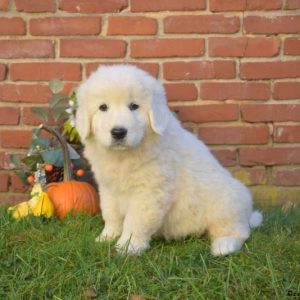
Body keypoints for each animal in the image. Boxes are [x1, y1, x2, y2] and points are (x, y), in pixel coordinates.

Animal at [75, 65, 262, 255]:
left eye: (134, 106)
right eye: (103, 107)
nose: (118, 132)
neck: (123, 156)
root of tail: (247, 215)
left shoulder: (149, 192)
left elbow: (135, 222)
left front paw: (128, 247)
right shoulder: (108, 188)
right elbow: (111, 214)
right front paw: (106, 237)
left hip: (226, 202)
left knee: (238, 231)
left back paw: (224, 245)